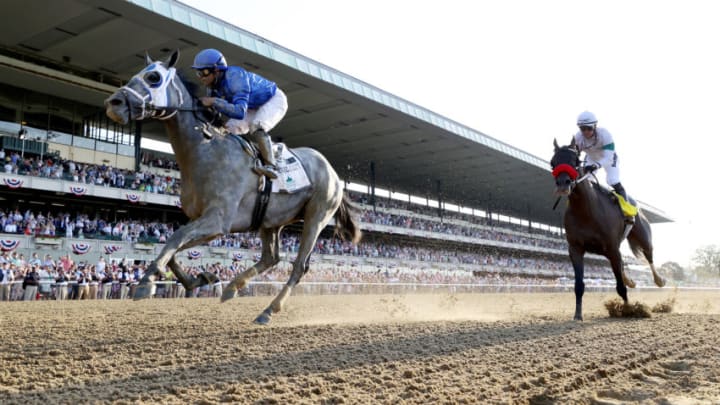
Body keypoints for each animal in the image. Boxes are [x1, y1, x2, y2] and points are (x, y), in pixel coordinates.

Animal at [104, 50, 360, 324]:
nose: (114, 103)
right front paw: (199, 279)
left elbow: (175, 238)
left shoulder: (218, 219)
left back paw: (267, 310)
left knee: (299, 266)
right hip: (271, 220)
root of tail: (333, 173)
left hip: (316, 216)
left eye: (153, 77)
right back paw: (232, 287)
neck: (205, 149)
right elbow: (173, 247)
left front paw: (147, 281)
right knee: (271, 258)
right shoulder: (203, 220)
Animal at [552, 139, 664, 318]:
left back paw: (659, 280)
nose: (563, 184)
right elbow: (579, 285)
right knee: (623, 264)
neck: (586, 211)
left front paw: (628, 310)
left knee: (649, 257)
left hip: (643, 238)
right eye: (553, 162)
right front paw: (577, 315)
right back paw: (631, 281)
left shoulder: (612, 247)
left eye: (575, 160)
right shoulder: (575, 249)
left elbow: (620, 287)